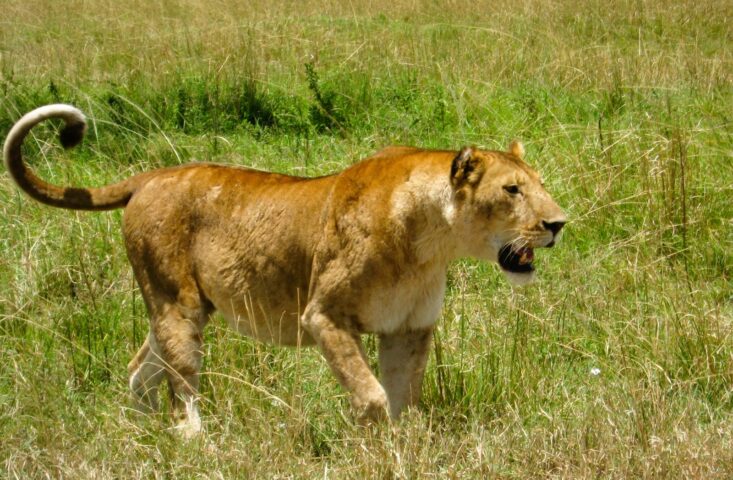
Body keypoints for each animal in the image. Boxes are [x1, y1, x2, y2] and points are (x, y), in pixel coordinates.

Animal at [4, 104, 566, 437]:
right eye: (511, 190)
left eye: (538, 183)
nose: (559, 223)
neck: (432, 243)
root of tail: (153, 175)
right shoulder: (323, 316)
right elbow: (372, 396)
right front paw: (375, 447)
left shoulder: (409, 328)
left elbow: (403, 400)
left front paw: (402, 448)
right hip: (177, 304)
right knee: (180, 384)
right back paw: (194, 442)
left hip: (176, 308)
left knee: (140, 367)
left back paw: (145, 437)